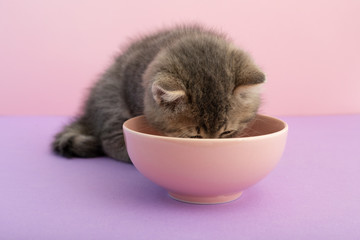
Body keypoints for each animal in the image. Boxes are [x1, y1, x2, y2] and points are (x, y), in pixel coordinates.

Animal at [54, 24, 268, 162]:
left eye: (226, 133)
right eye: (195, 137)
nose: (211, 151)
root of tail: (87, 114)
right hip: (111, 100)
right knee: (109, 142)